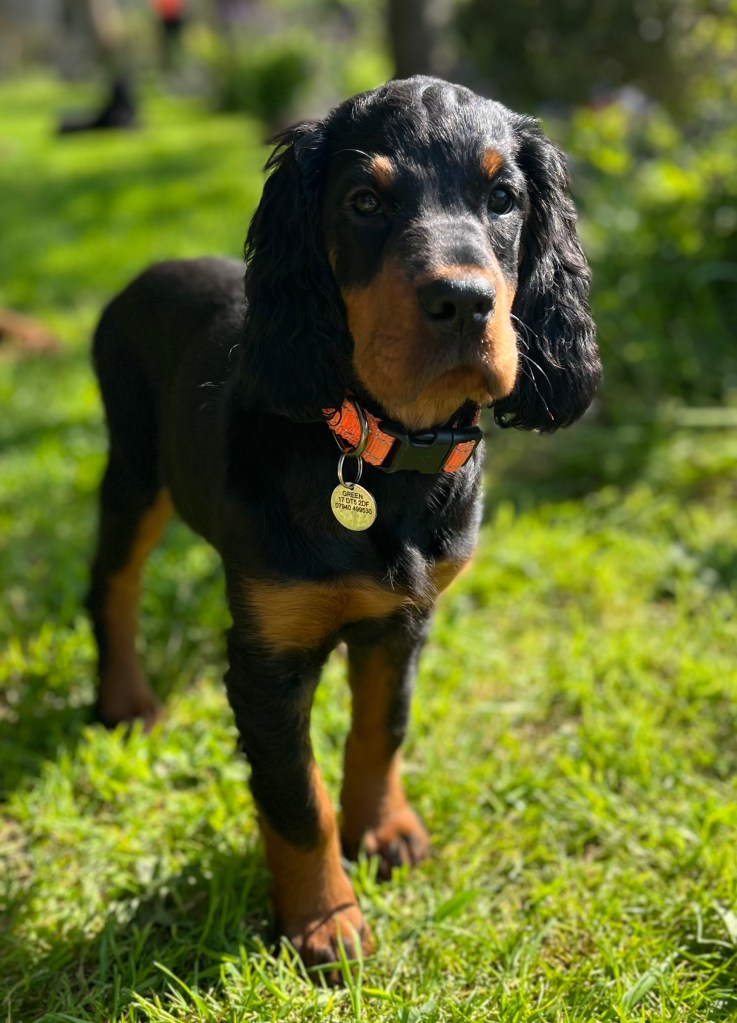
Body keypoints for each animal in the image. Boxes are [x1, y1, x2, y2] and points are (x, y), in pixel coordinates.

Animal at [86, 76, 600, 976]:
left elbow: (379, 729)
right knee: (111, 585)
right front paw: (324, 920)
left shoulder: (404, 619)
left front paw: (383, 829)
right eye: (364, 201)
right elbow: (295, 795)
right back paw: (125, 698)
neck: (384, 453)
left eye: (503, 199)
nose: (464, 302)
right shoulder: (268, 659)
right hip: (136, 470)